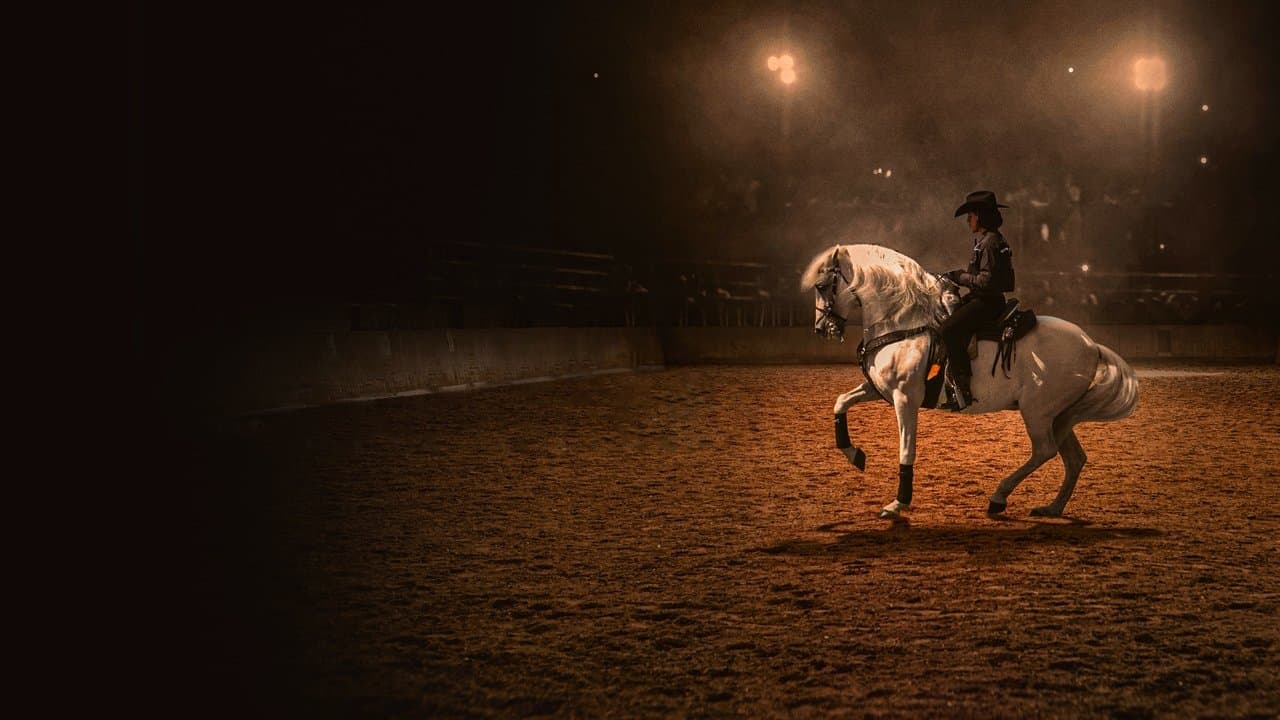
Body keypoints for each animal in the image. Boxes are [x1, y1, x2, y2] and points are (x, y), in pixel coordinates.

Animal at [801, 244, 1139, 519]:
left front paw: (898, 504)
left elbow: (906, 449)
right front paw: (854, 454)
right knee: (1074, 459)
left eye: (822, 285)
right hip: (1060, 416)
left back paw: (999, 497)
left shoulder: (905, 398)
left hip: (1038, 412)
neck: (903, 323)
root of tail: (1091, 344)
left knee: (1045, 451)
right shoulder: (879, 389)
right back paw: (1052, 508)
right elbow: (841, 402)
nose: (821, 328)